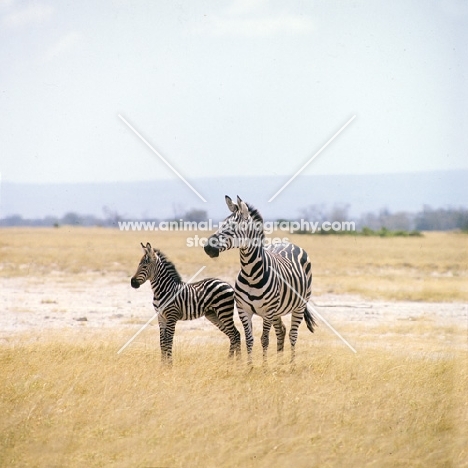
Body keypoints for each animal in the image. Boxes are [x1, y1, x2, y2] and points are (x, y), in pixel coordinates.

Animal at [203, 196, 316, 364]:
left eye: (231, 227)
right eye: (221, 225)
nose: (207, 248)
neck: (250, 273)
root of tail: (288, 243)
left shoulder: (268, 311)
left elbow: (264, 339)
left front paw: (264, 367)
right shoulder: (243, 310)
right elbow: (249, 340)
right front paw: (249, 367)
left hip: (299, 305)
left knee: (293, 335)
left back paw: (291, 365)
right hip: (278, 310)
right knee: (281, 331)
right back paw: (279, 363)